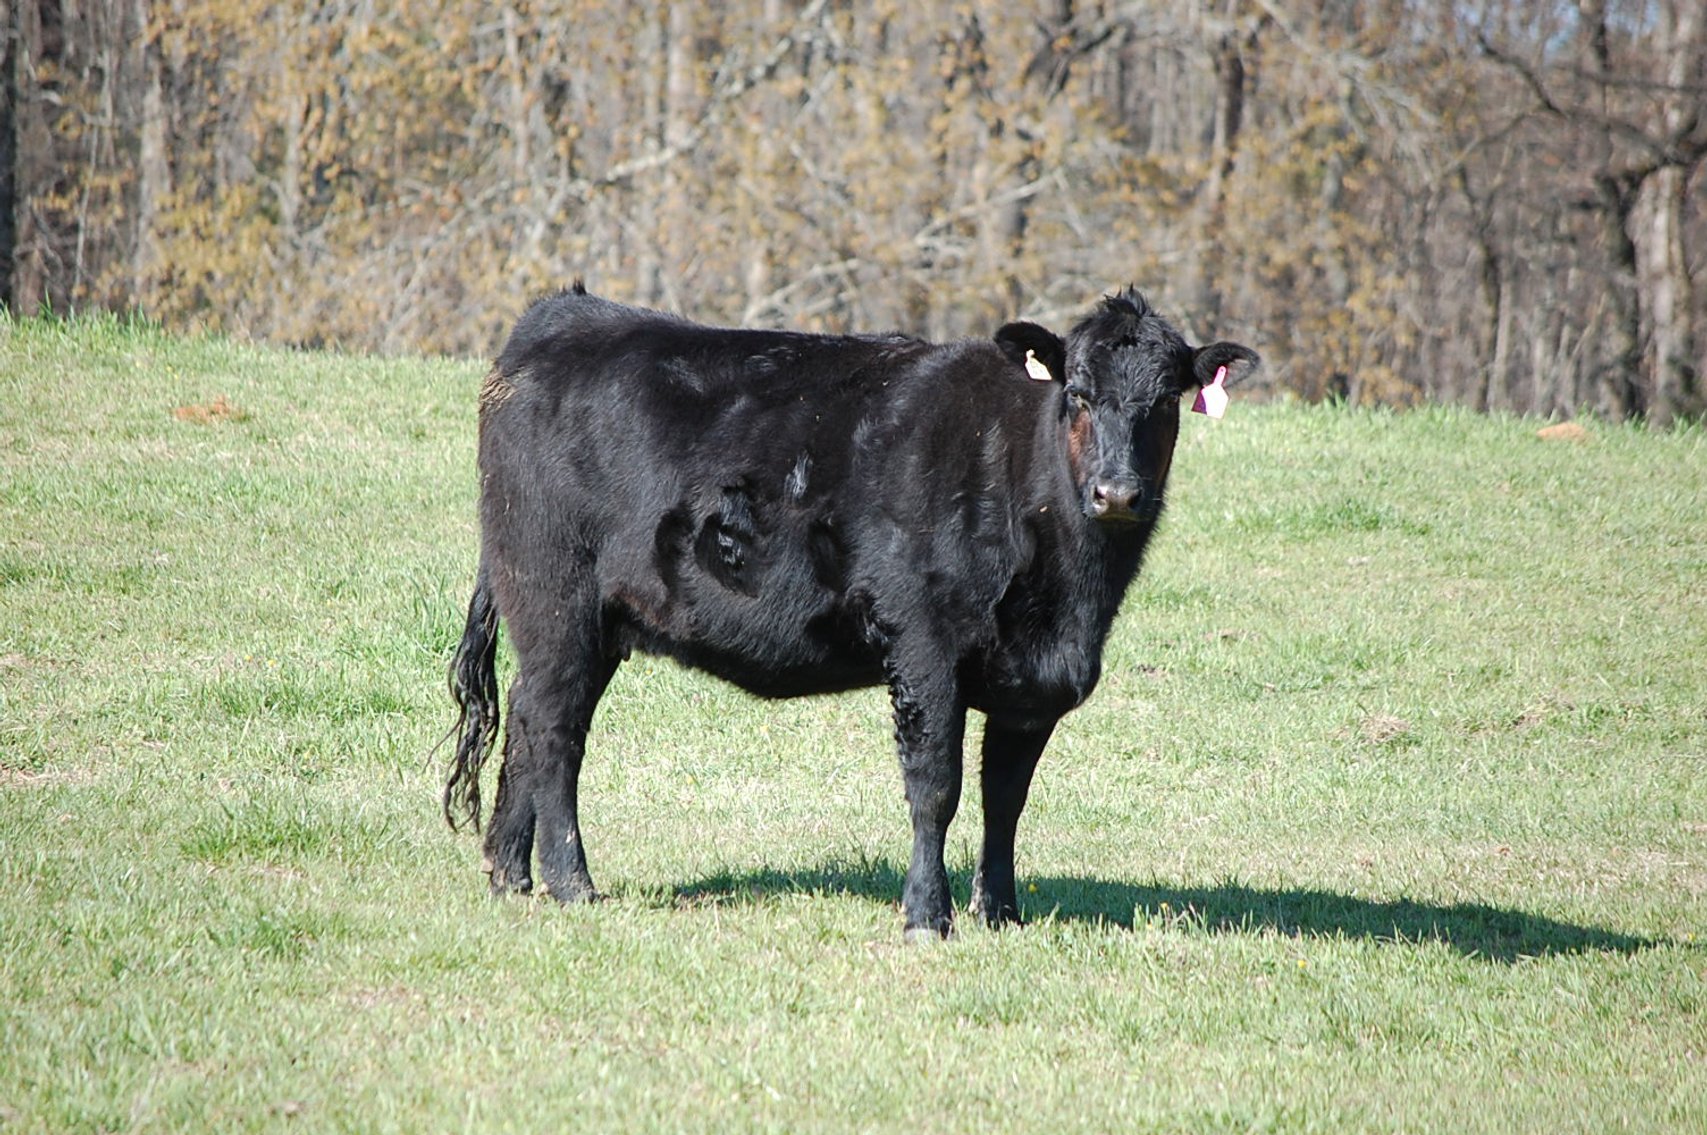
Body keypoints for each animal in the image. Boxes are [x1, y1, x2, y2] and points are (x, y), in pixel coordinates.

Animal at [444, 283, 1258, 939]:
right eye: (1079, 394)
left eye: (1164, 401)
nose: (1116, 492)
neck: (1070, 600)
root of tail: (560, 316)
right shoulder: (924, 646)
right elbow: (936, 787)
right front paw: (927, 915)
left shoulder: (1031, 684)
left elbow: (1005, 798)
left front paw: (1000, 912)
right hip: (555, 597)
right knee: (555, 731)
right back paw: (570, 881)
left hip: (582, 620)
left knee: (527, 721)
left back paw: (510, 872)